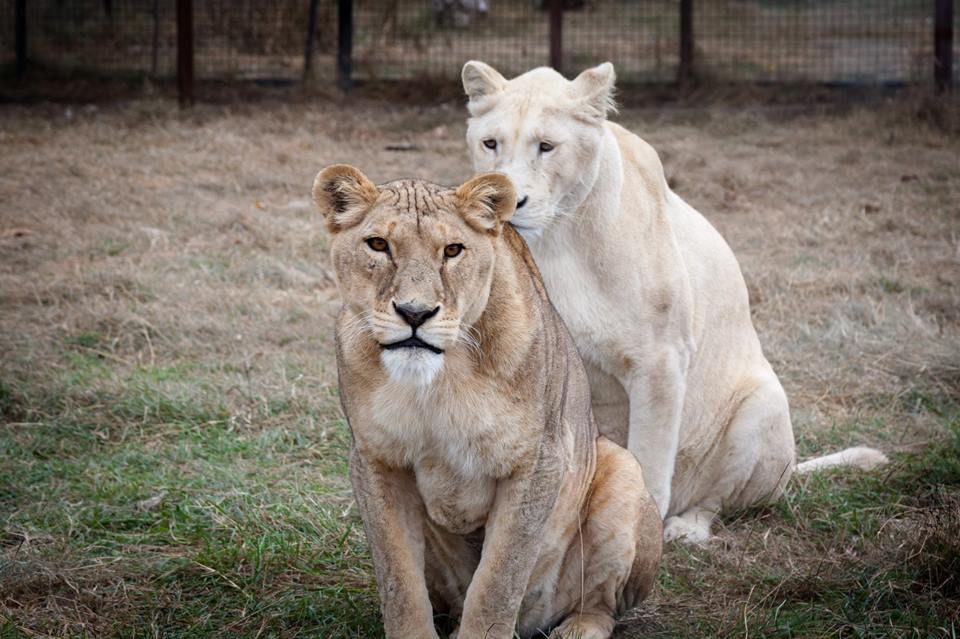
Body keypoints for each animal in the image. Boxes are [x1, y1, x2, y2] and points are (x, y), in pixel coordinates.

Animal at [460, 60, 884, 544]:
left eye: (547, 147)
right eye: (490, 143)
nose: (508, 202)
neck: (554, 242)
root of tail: (794, 469)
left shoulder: (660, 359)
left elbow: (649, 460)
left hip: (763, 408)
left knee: (717, 501)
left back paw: (686, 528)